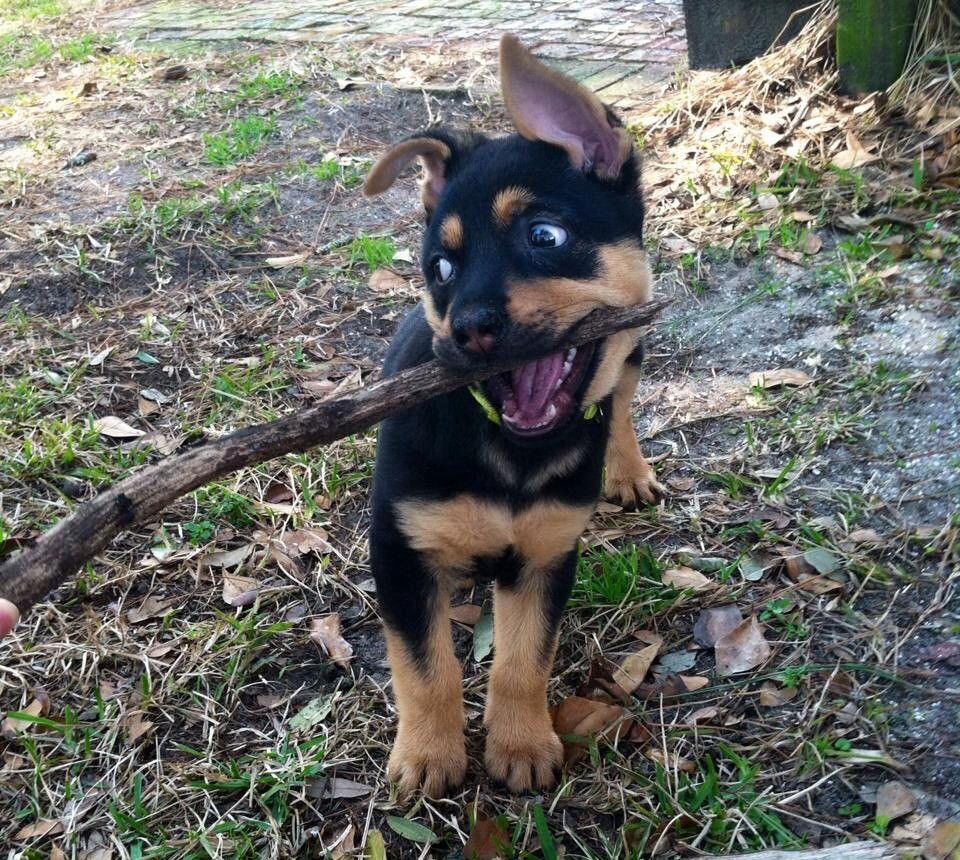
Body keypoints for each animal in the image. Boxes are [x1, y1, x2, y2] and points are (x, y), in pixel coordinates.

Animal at [364, 35, 664, 800]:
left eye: (544, 235)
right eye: (440, 268)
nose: (468, 330)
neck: (512, 451)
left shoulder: (548, 554)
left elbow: (524, 660)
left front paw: (522, 746)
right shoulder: (400, 551)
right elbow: (426, 669)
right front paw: (428, 757)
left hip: (634, 348)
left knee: (621, 403)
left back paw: (628, 471)